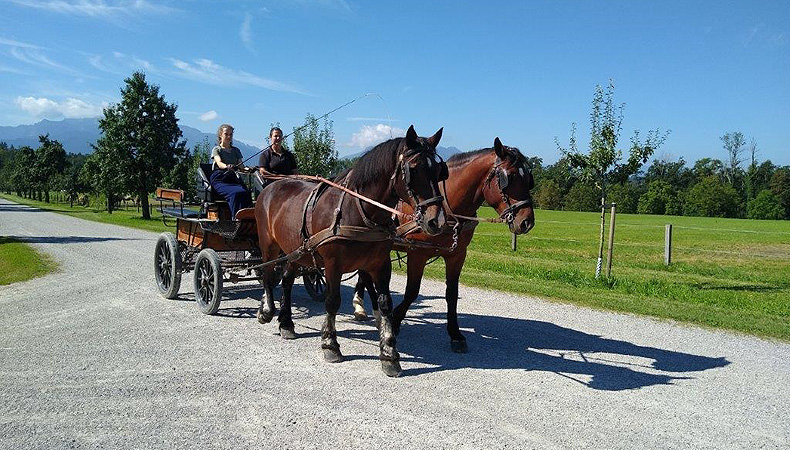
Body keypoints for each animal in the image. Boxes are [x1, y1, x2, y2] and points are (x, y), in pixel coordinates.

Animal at [255, 125, 448, 376]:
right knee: (268, 276)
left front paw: (389, 353)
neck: (358, 211)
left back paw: (286, 322)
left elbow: (385, 302)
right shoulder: (333, 264)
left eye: (439, 171)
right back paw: (267, 310)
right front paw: (330, 344)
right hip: (269, 245)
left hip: (297, 251)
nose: (436, 221)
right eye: (413, 169)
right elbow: (332, 301)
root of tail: (272, 187)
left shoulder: (379, 264)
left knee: (286, 281)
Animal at [354, 137, 536, 352]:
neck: (448, 211)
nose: (527, 222)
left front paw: (455, 334)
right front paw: (396, 320)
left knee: (363, 274)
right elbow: (412, 292)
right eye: (509, 177)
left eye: (529, 179)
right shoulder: (417, 253)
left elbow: (452, 294)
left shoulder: (457, 255)